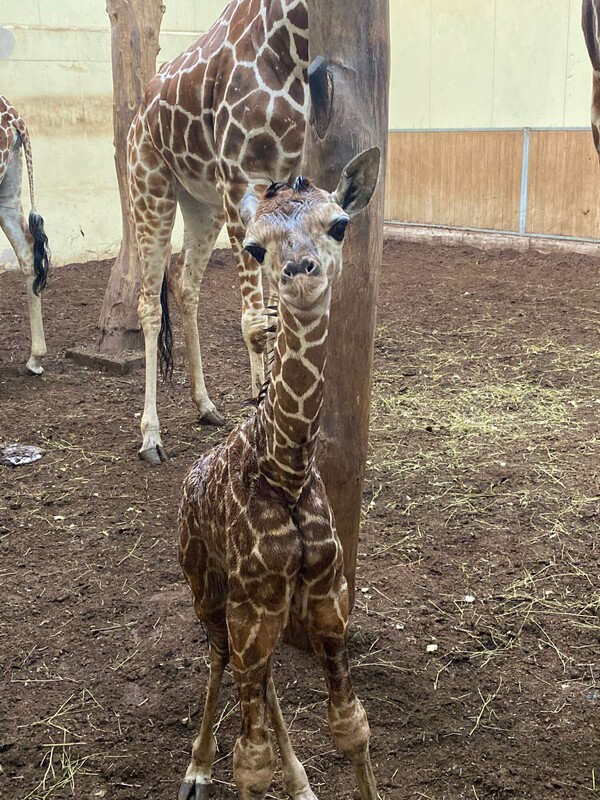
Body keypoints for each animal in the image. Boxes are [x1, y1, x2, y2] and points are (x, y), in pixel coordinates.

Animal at [131, 0, 310, 462]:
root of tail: (137, 114)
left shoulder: (290, 184)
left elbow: (279, 315)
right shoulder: (239, 178)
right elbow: (255, 323)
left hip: (202, 203)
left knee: (185, 284)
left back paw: (206, 405)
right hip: (150, 189)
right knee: (149, 304)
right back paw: (151, 436)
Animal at [178, 147, 382, 800]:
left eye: (339, 224)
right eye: (254, 247)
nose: (300, 272)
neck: (286, 469)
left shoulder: (325, 595)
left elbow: (351, 726)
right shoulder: (252, 598)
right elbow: (249, 763)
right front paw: (221, 768)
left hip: (256, 605)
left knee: (259, 674)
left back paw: (300, 781)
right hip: (207, 583)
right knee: (221, 655)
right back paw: (197, 767)